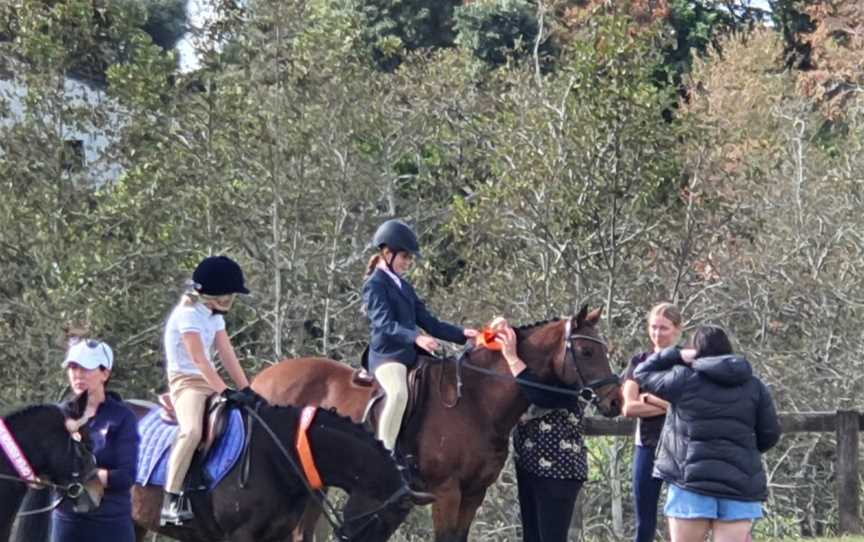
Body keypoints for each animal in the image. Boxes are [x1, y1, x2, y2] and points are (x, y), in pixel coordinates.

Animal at [253, 308, 624, 540]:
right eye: (587, 353)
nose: (616, 401)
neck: (475, 400)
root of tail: (262, 380)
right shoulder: (446, 491)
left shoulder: (474, 492)